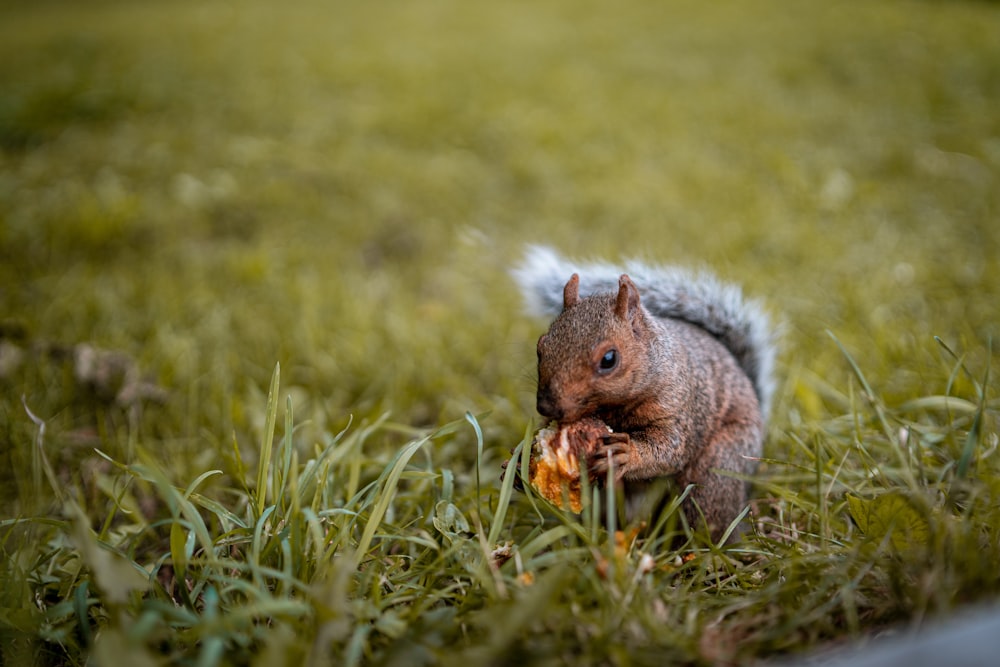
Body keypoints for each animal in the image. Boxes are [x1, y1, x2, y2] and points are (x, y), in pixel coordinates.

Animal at [512, 245, 776, 544]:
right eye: (540, 347)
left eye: (609, 359)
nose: (546, 406)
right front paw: (522, 459)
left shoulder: (680, 405)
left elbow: (670, 447)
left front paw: (626, 453)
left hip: (716, 472)